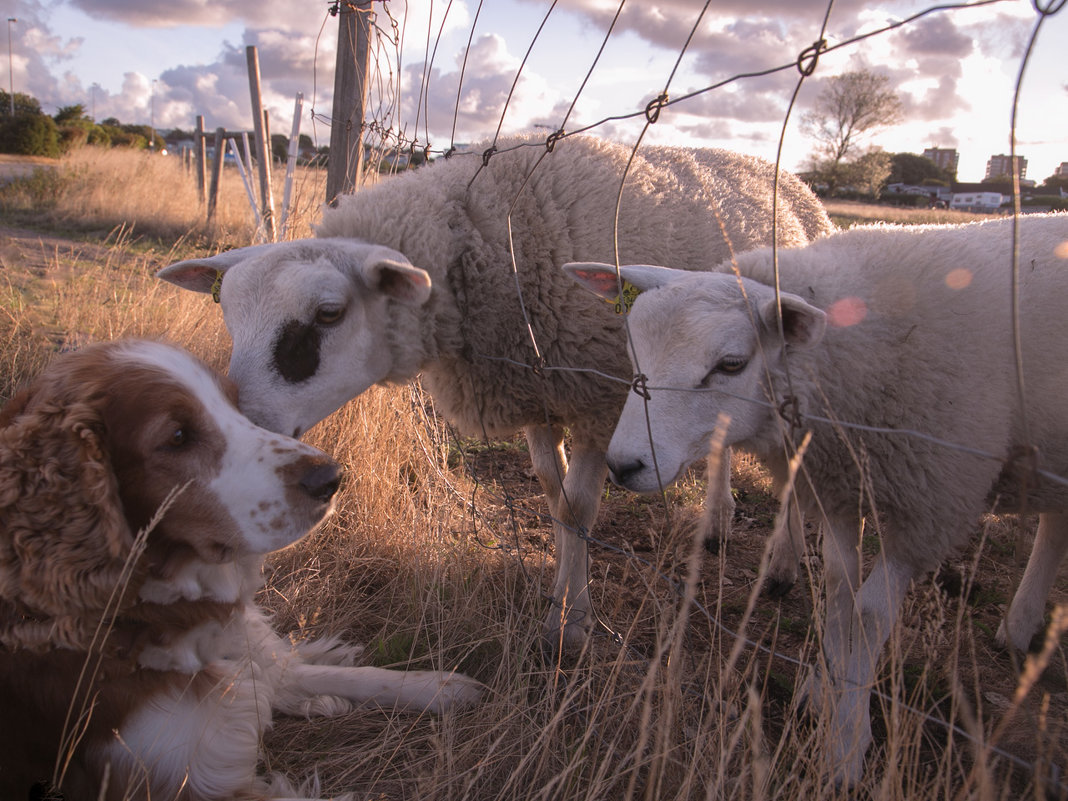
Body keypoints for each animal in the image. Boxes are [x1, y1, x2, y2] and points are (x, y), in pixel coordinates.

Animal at [0, 341, 480, 801]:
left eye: (233, 403)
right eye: (178, 436)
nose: (331, 477)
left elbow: (345, 676)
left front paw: (439, 687)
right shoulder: (174, 783)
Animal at [154, 131, 828, 645]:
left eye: (328, 314)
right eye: (228, 315)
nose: (243, 426)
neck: (484, 245)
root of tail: (782, 174)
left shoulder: (597, 398)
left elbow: (580, 509)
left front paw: (571, 626)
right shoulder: (537, 396)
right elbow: (556, 502)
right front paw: (558, 601)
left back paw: (783, 568)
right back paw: (719, 524)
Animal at [563, 213, 1063, 786]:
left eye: (731, 363)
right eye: (634, 352)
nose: (623, 465)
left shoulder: (927, 509)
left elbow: (868, 617)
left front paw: (845, 749)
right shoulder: (836, 489)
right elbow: (839, 595)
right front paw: (824, 694)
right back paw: (1019, 628)